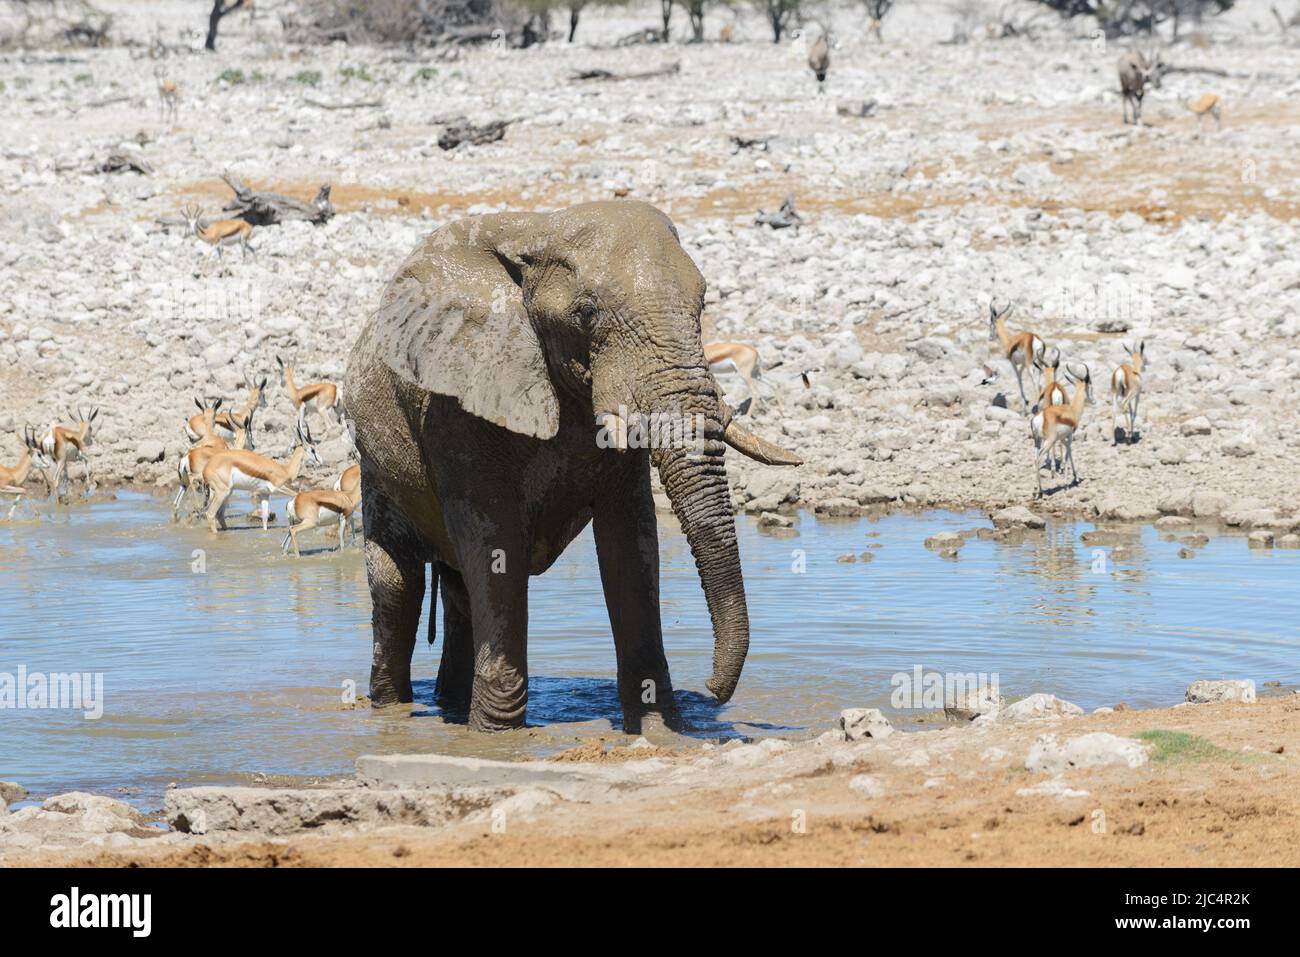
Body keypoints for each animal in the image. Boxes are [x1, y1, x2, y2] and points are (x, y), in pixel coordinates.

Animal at [340, 197, 795, 728]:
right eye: (586, 313)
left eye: (701, 306)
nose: (713, 689)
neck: (540, 230)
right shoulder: (456, 404)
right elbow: (497, 545)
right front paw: (498, 737)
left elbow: (630, 545)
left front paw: (658, 727)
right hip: (377, 472)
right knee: (398, 588)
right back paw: (393, 712)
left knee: (458, 593)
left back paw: (451, 706)